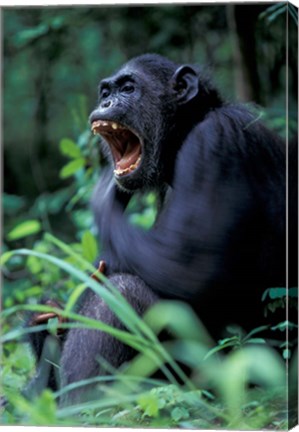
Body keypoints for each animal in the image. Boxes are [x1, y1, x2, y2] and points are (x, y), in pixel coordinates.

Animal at [28, 53, 298, 404]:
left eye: (128, 88)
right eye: (106, 92)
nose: (107, 103)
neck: (182, 135)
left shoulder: (215, 141)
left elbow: (186, 270)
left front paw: (102, 192)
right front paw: (46, 318)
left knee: (123, 292)